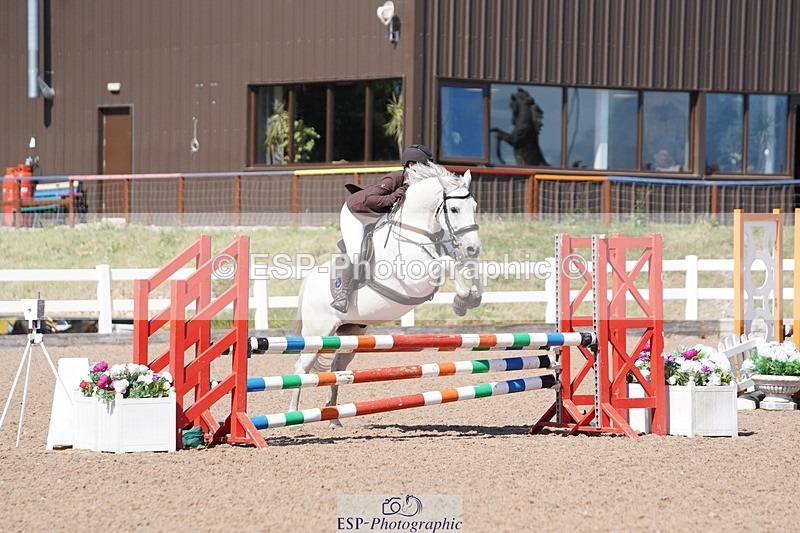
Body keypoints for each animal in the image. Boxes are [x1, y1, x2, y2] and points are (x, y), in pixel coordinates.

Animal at [287, 163, 483, 426]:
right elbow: (448, 265)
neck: (415, 230)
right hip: (318, 332)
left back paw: (334, 417)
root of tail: (308, 282)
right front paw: (462, 299)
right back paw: (292, 414)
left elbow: (469, 267)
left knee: (337, 367)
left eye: (474, 207)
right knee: (301, 369)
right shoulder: (415, 278)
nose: (474, 248)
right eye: (453, 209)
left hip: (351, 333)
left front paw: (473, 296)